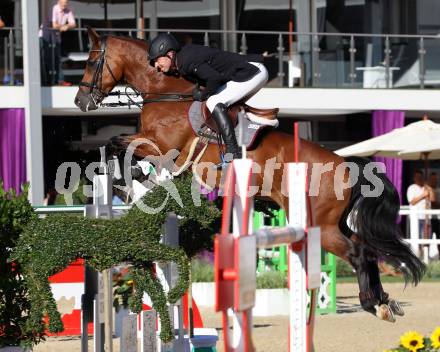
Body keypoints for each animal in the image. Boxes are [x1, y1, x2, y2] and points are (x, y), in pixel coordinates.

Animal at [76, 27, 426, 324]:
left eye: (92, 61)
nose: (80, 101)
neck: (165, 91)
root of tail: (345, 164)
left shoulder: (162, 147)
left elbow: (118, 145)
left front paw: (125, 183)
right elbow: (121, 149)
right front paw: (132, 181)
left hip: (321, 226)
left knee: (358, 253)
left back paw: (374, 305)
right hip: (332, 223)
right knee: (366, 249)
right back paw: (385, 301)